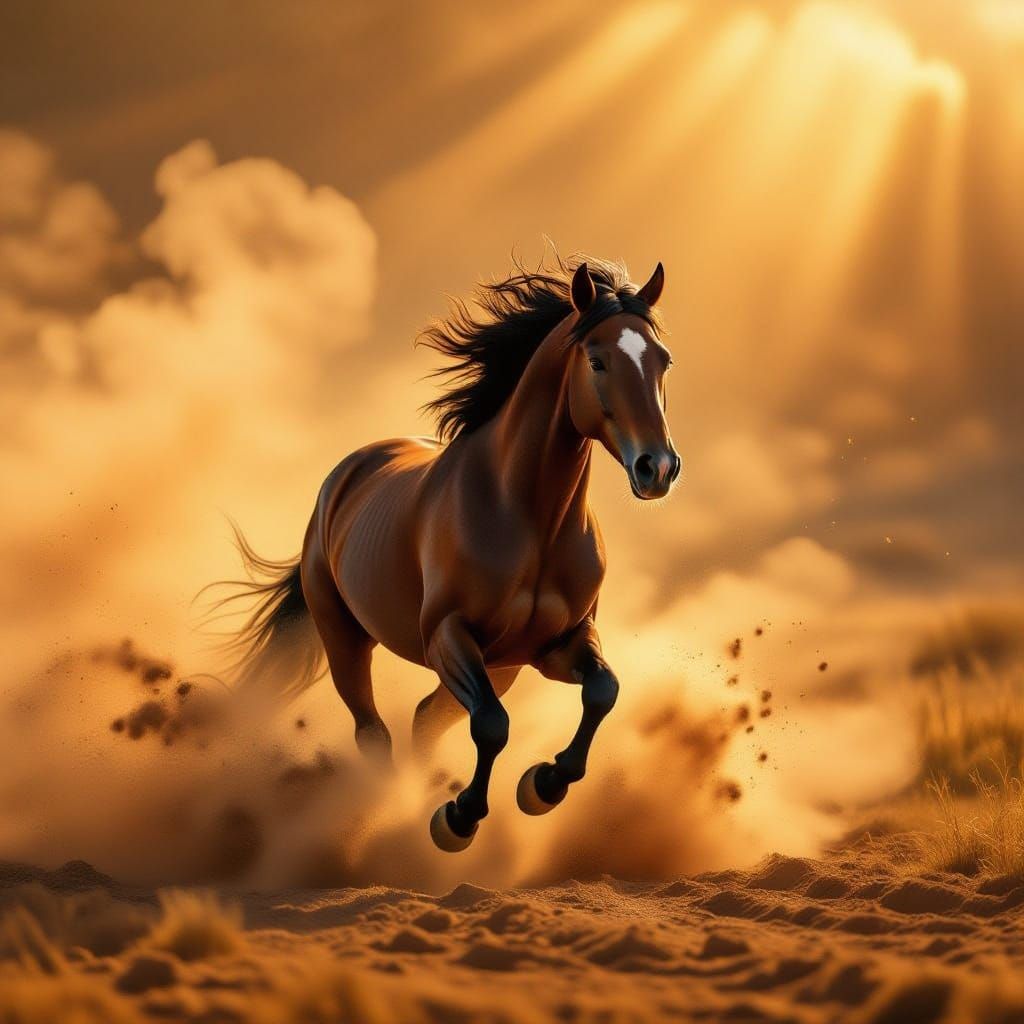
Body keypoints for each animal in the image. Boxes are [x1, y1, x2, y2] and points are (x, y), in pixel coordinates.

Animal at [226, 255, 681, 852]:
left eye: (663, 360)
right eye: (597, 360)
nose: (658, 468)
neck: (529, 519)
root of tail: (347, 474)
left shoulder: (554, 645)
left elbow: (603, 691)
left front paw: (543, 784)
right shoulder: (448, 636)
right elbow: (491, 723)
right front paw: (459, 818)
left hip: (503, 664)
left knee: (424, 719)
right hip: (344, 637)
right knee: (374, 733)